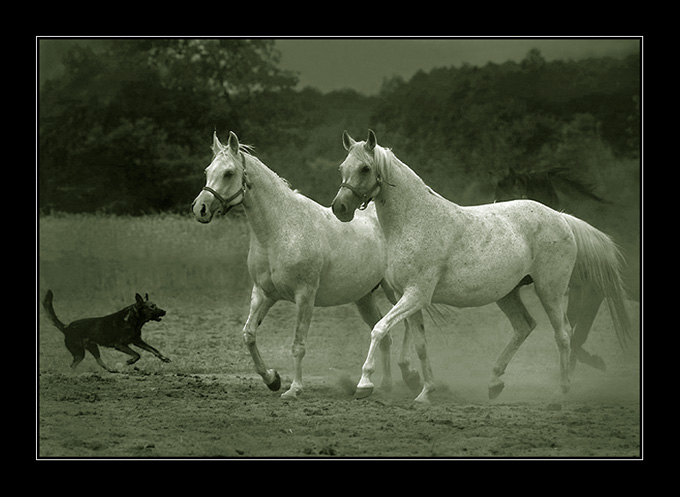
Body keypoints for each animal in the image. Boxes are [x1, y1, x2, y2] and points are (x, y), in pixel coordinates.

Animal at [42, 288, 170, 370]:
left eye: (156, 305)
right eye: (152, 307)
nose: (164, 311)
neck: (132, 319)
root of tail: (66, 327)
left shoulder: (137, 341)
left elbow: (153, 349)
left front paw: (164, 358)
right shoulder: (120, 345)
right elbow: (137, 354)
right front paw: (130, 361)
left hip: (93, 348)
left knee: (99, 361)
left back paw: (111, 370)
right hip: (79, 352)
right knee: (73, 365)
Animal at [191, 132, 420, 400]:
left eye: (228, 173)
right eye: (207, 171)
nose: (200, 208)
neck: (279, 231)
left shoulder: (304, 296)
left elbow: (298, 345)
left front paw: (294, 389)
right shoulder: (263, 293)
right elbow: (248, 335)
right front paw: (272, 379)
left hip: (394, 290)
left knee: (408, 321)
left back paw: (410, 374)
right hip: (364, 298)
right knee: (385, 335)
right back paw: (383, 385)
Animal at [332, 129, 628, 404]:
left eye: (365, 168)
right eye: (342, 167)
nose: (340, 208)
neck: (416, 221)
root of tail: (561, 217)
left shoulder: (416, 295)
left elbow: (379, 329)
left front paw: (364, 384)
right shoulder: (408, 297)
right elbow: (421, 346)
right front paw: (425, 392)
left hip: (550, 290)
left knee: (564, 334)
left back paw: (560, 391)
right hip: (508, 294)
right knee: (525, 326)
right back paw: (495, 382)